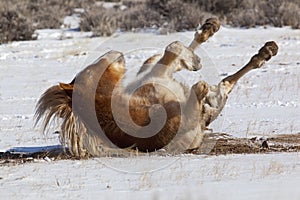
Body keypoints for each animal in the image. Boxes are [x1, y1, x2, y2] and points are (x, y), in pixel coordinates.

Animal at [35, 18, 278, 158]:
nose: (114, 52)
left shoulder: (157, 76)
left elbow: (173, 49)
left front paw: (195, 57)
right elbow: (197, 86)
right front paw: (198, 71)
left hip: (152, 72)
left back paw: (259, 48)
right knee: (223, 85)